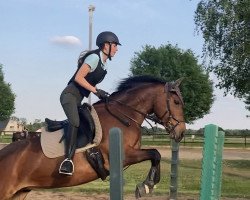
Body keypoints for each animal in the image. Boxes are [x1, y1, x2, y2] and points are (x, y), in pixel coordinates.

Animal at [0, 76, 186, 199]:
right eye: (176, 102)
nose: (181, 132)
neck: (124, 115)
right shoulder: (124, 155)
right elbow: (155, 153)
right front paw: (146, 186)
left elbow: (155, 154)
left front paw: (147, 185)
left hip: (19, 193)